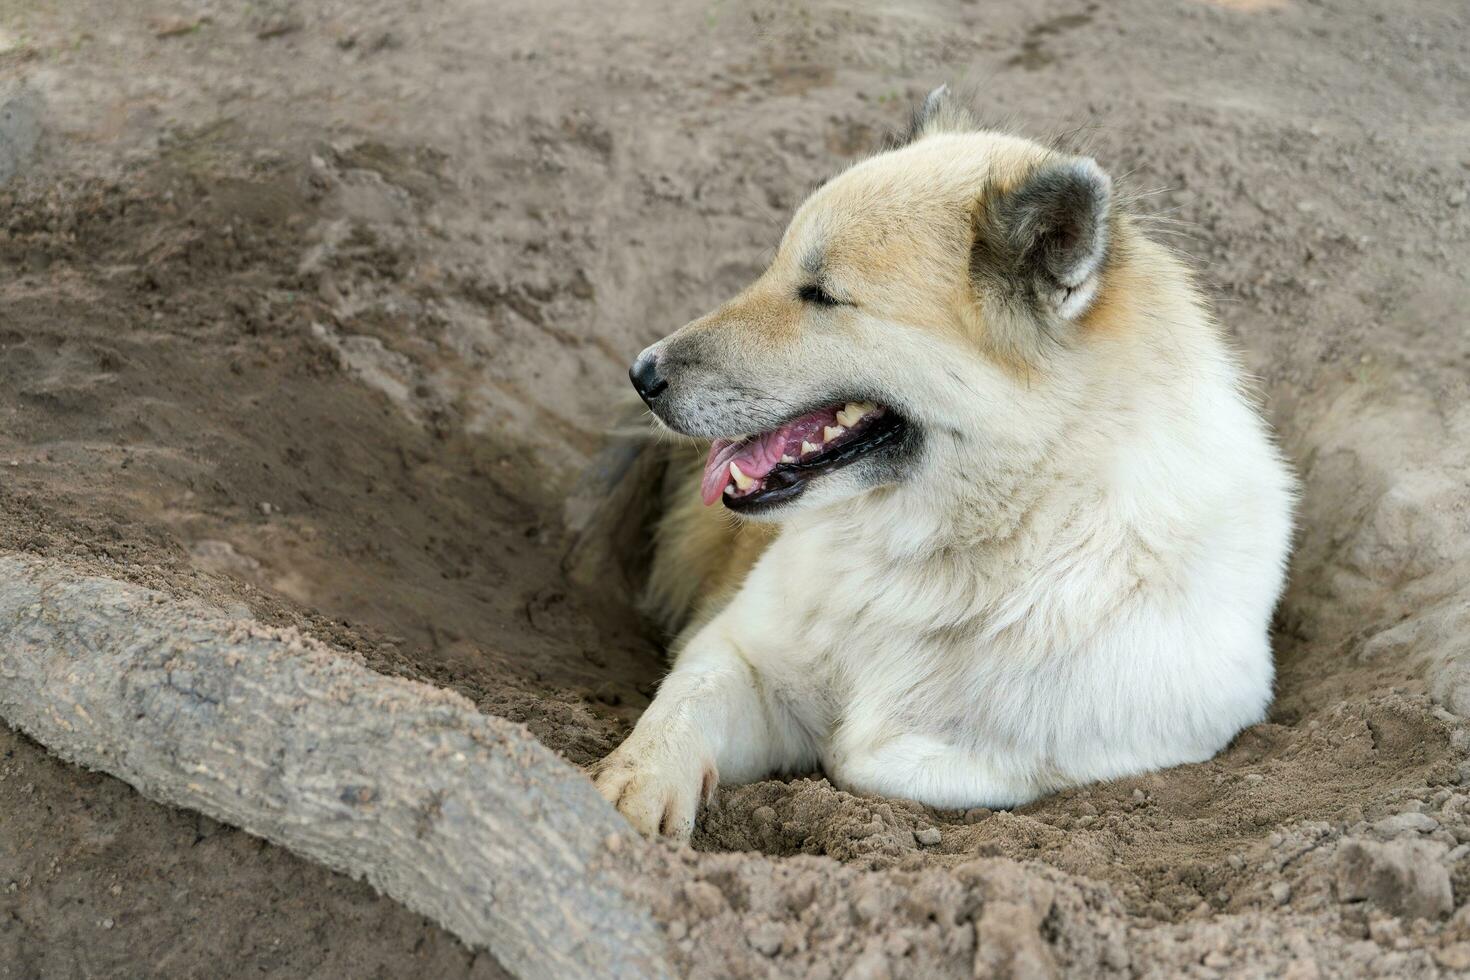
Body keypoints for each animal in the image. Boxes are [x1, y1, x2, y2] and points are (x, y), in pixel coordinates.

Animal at [590, 89, 1293, 846]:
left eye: (821, 295)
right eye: (774, 269)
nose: (642, 374)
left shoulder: (1151, 736)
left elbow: (872, 755)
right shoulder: (738, 653)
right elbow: (680, 707)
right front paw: (634, 788)